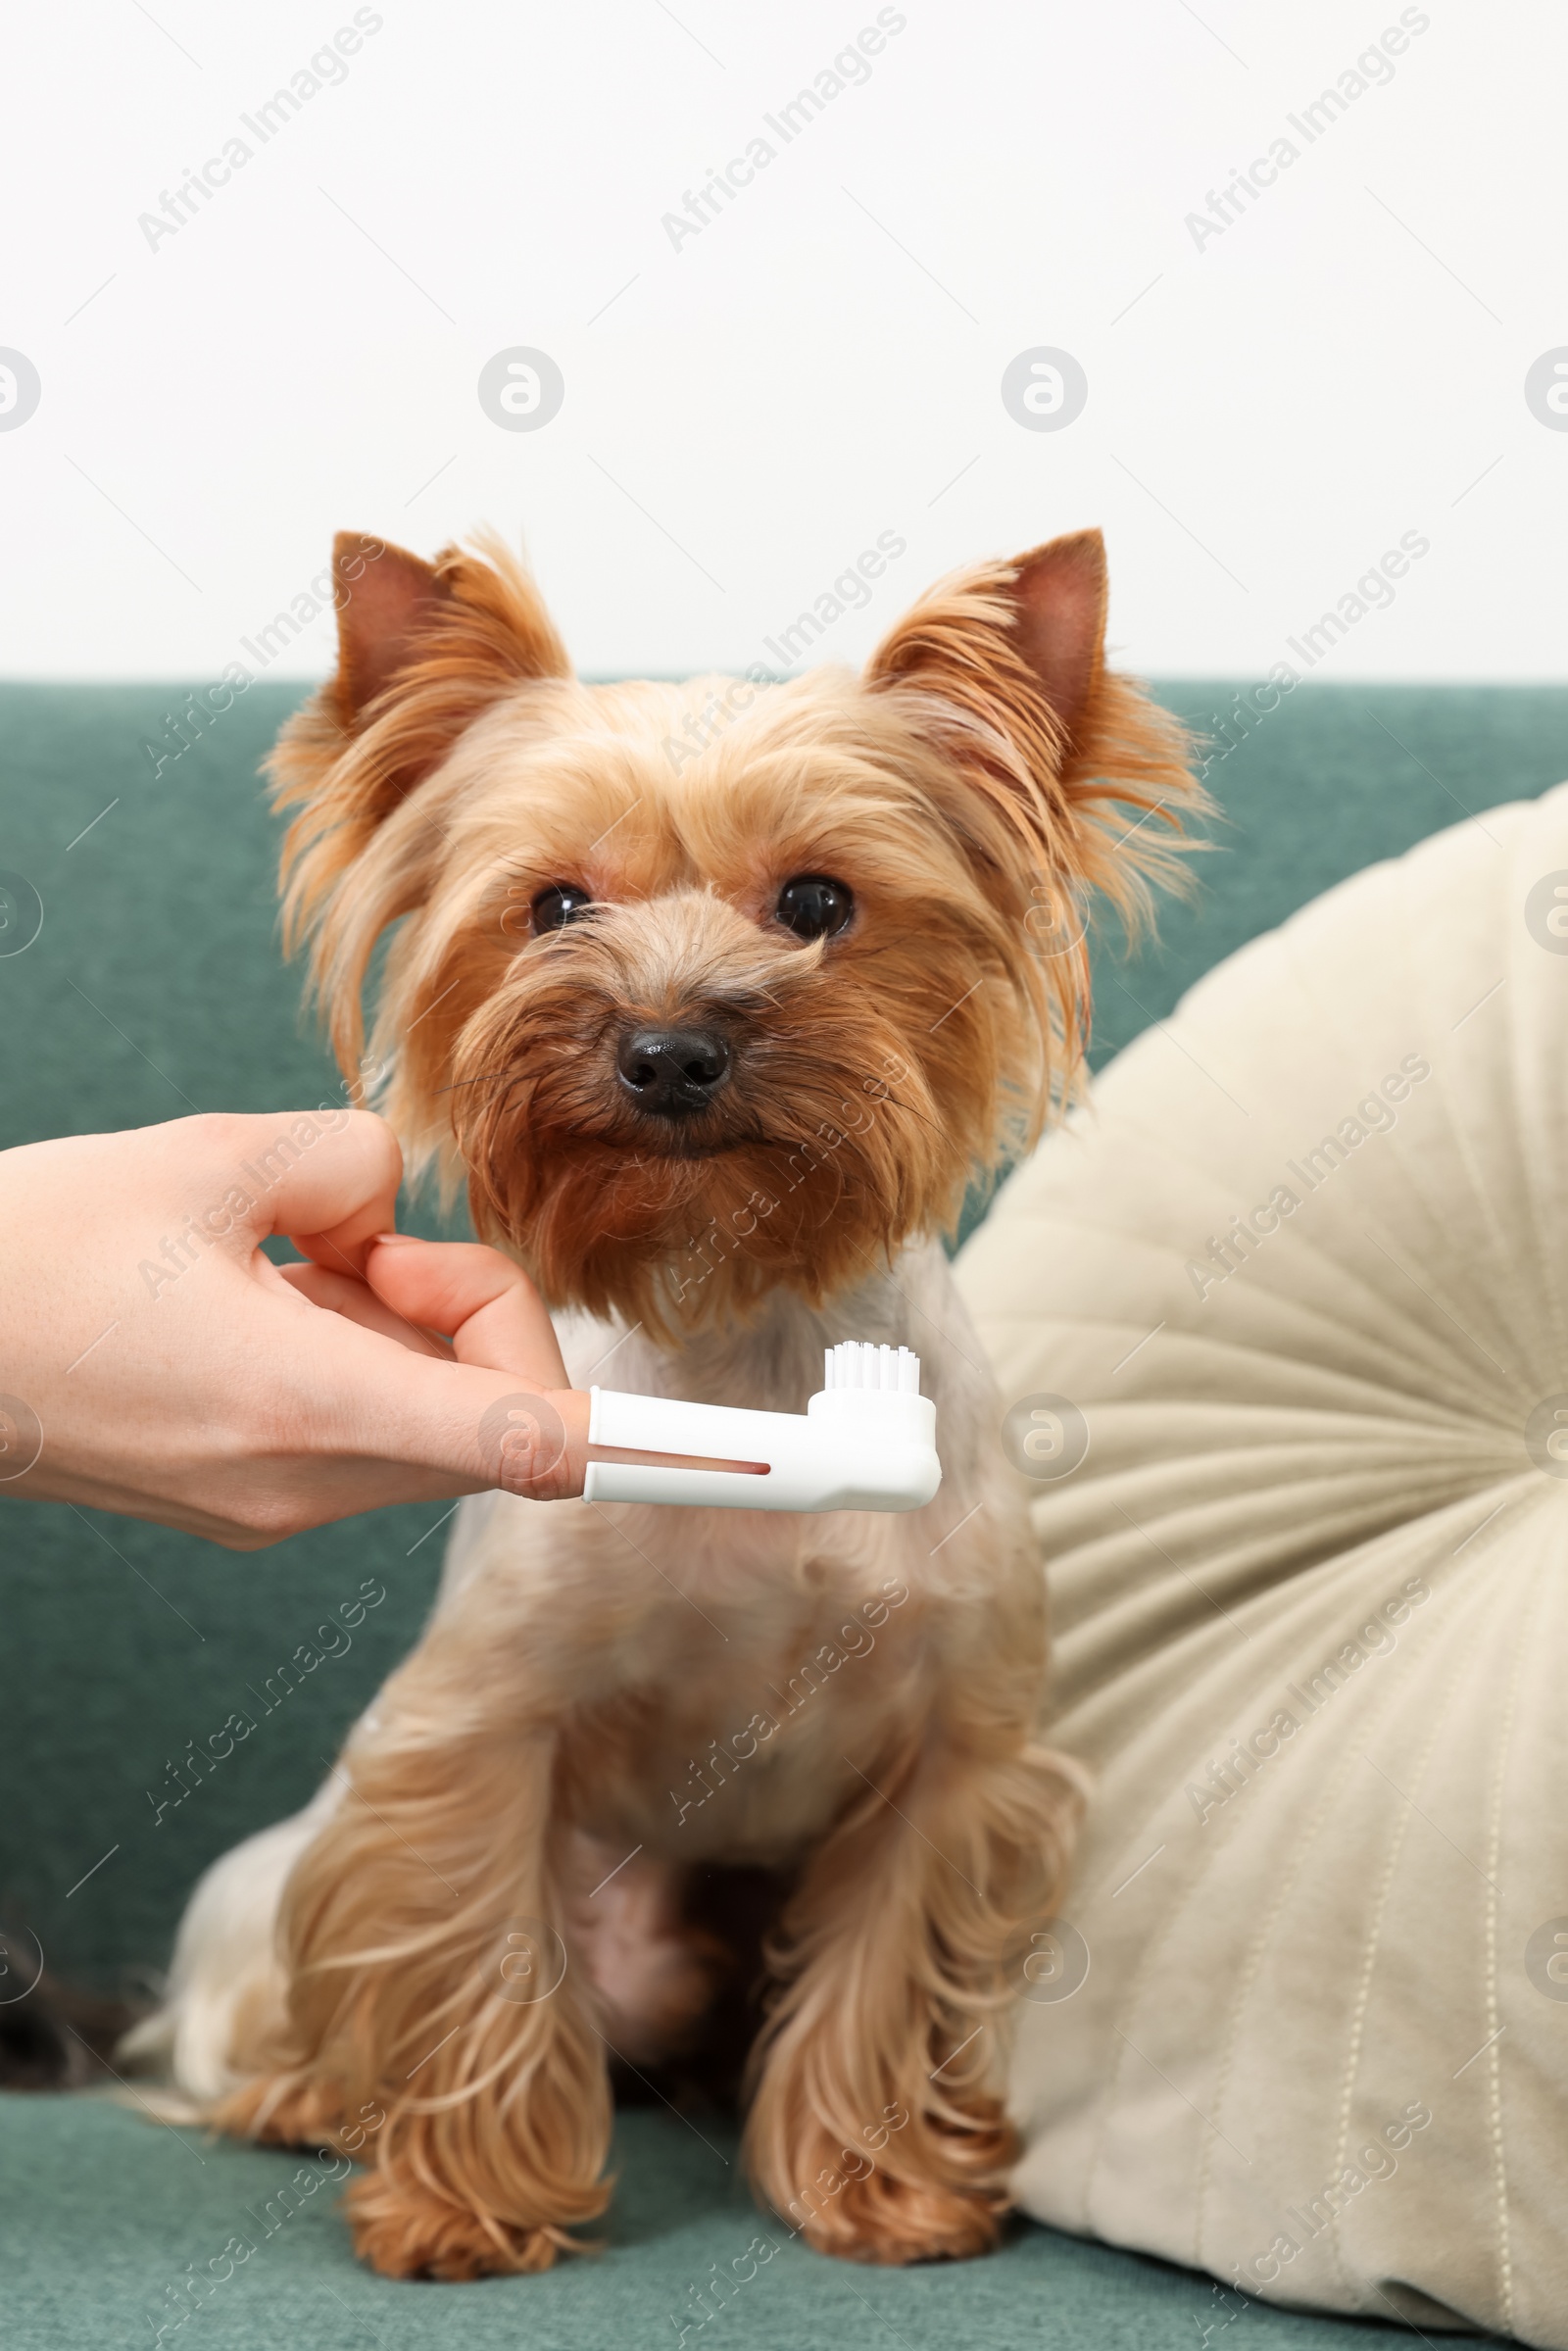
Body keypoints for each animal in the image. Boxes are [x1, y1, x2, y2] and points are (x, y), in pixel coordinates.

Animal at [134, 528, 1194, 2276]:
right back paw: (301, 2092)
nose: (669, 1044)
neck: (740, 1326)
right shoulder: (478, 1724)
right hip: (285, 1885)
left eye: (821, 902)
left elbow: (884, 1966)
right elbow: (472, 1940)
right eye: (555, 904)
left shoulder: (956, 1746)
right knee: (277, 1985)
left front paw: (879, 2185)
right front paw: (466, 2201)